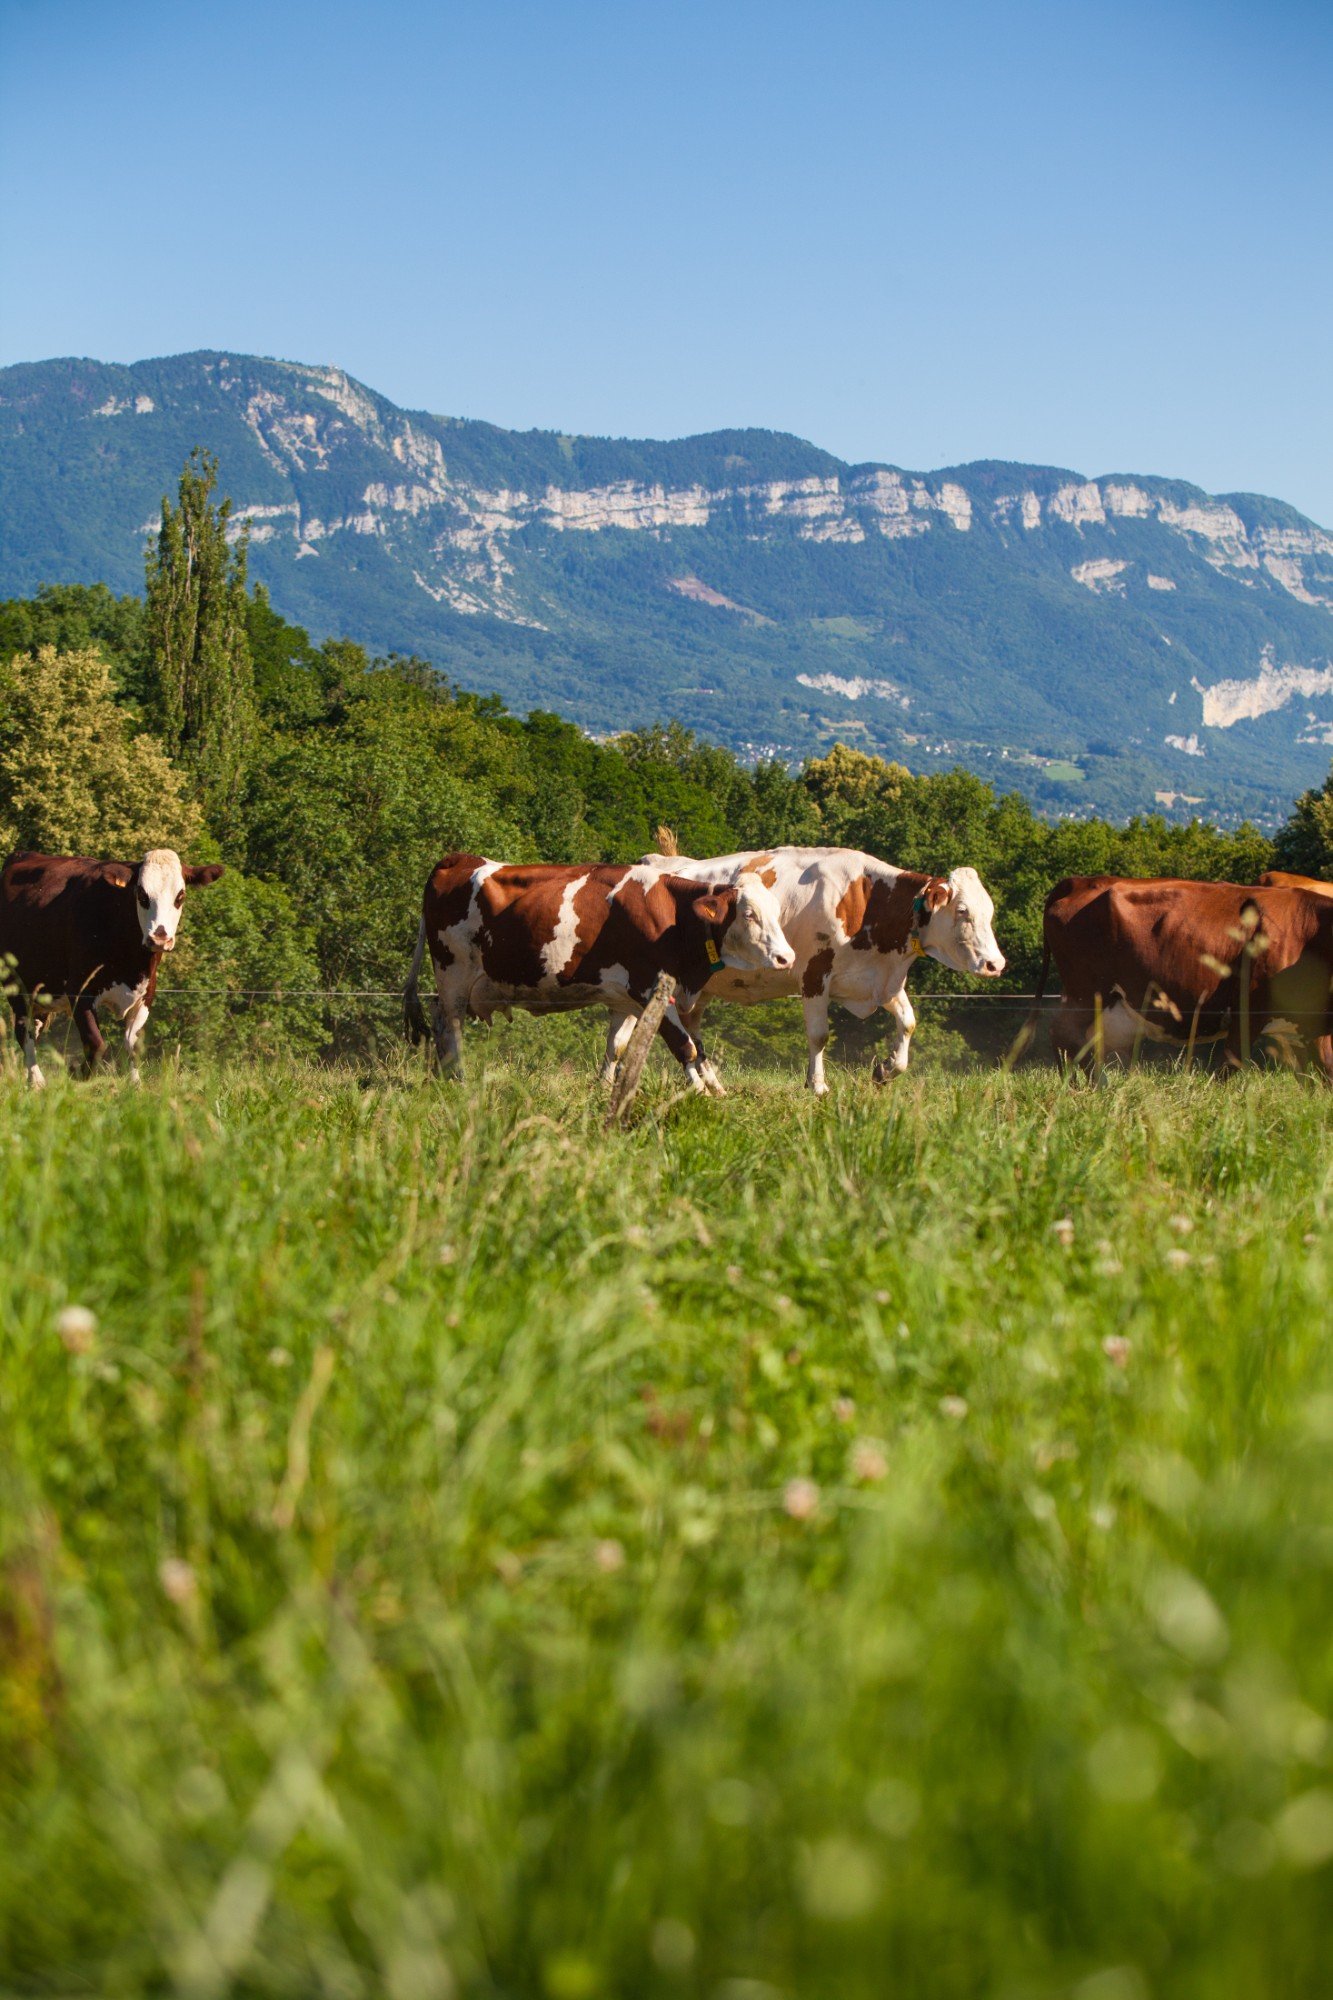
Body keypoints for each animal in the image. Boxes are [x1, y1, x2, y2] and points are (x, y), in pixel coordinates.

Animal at [1, 849, 225, 1089]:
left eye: (180, 896)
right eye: (142, 895)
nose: (159, 938)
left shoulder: (146, 996)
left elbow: (132, 1045)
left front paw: (135, 1084)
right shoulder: (80, 991)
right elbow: (96, 1043)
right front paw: (76, 1074)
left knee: (35, 1029)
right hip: (16, 985)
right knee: (24, 1032)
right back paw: (36, 1081)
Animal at [403, 853, 795, 1092]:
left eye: (776, 912)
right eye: (748, 914)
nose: (786, 957)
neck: (672, 915)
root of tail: (458, 859)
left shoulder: (624, 998)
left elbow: (617, 1048)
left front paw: (604, 1089)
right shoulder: (650, 987)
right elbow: (685, 1046)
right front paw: (701, 1094)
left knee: (440, 1019)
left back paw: (441, 1076)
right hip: (453, 971)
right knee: (451, 1023)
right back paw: (457, 1077)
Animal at [603, 841, 1006, 1094]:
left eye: (989, 911)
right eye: (962, 911)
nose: (996, 964)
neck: (866, 900)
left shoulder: (879, 980)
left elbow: (908, 1022)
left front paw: (886, 1070)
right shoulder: (815, 974)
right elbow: (819, 1035)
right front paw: (817, 1085)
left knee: (662, 1033)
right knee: (630, 1038)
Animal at [1034, 874, 1333, 1075]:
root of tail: (1079, 881)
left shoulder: (1311, 1024)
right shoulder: (1247, 1010)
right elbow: (1230, 1065)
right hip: (1086, 990)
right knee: (1065, 1036)